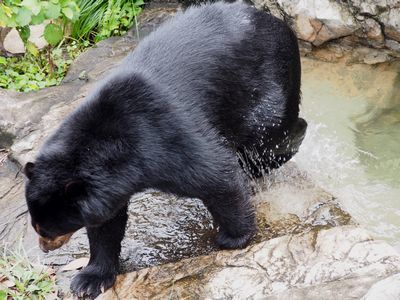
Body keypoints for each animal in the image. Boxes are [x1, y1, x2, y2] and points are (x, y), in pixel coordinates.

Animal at [24, 1, 306, 298]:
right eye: (37, 226)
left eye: (46, 229)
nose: (44, 248)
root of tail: (275, 21)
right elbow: (106, 225)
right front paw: (89, 280)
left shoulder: (163, 137)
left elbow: (216, 173)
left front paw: (233, 237)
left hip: (266, 81)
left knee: (270, 134)